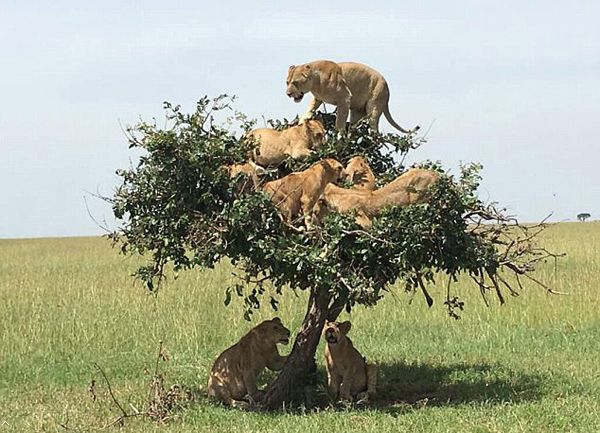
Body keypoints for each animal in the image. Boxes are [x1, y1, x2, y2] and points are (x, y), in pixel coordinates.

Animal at [284, 60, 418, 132]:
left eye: (295, 82)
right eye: (287, 82)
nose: (288, 94)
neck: (315, 83)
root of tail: (387, 88)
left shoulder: (345, 99)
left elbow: (339, 122)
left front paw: (339, 138)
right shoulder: (318, 98)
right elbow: (309, 109)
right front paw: (302, 121)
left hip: (374, 107)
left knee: (375, 130)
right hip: (356, 112)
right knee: (353, 127)